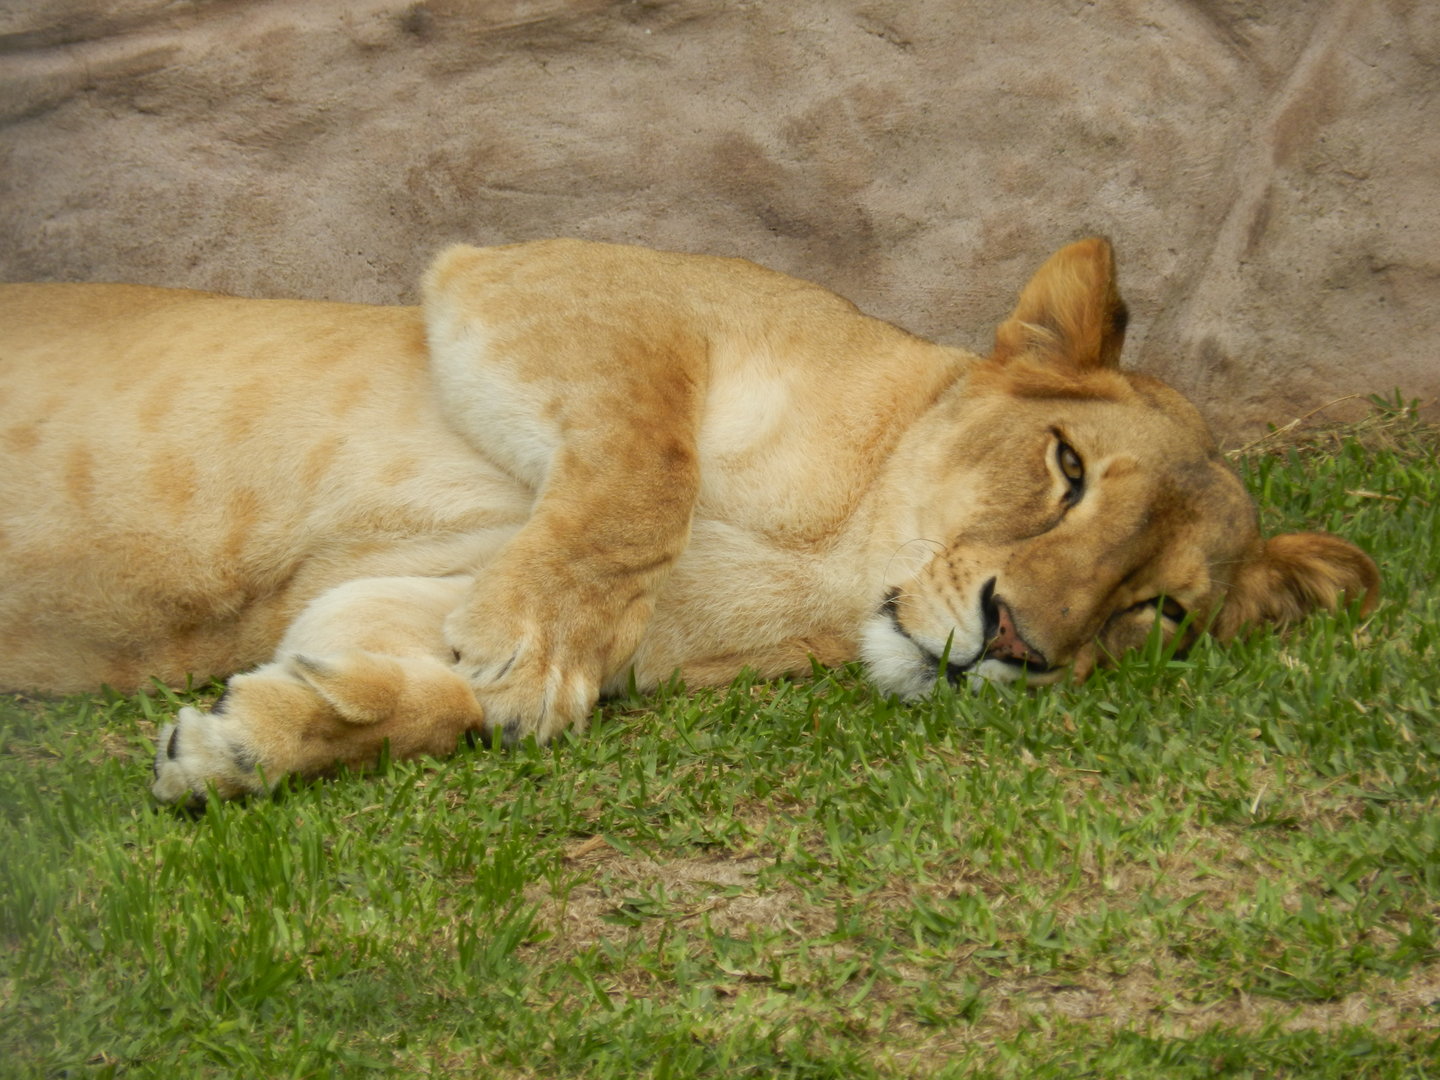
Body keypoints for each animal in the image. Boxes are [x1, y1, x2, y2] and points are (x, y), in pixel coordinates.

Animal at [0, 237, 1378, 803]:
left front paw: (252, 740)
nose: (1014, 643)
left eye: (1160, 611)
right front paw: (536, 636)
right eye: (1068, 468)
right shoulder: (559, 278)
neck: (834, 559)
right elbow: (640, 465)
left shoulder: (375, 597)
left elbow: (436, 699)